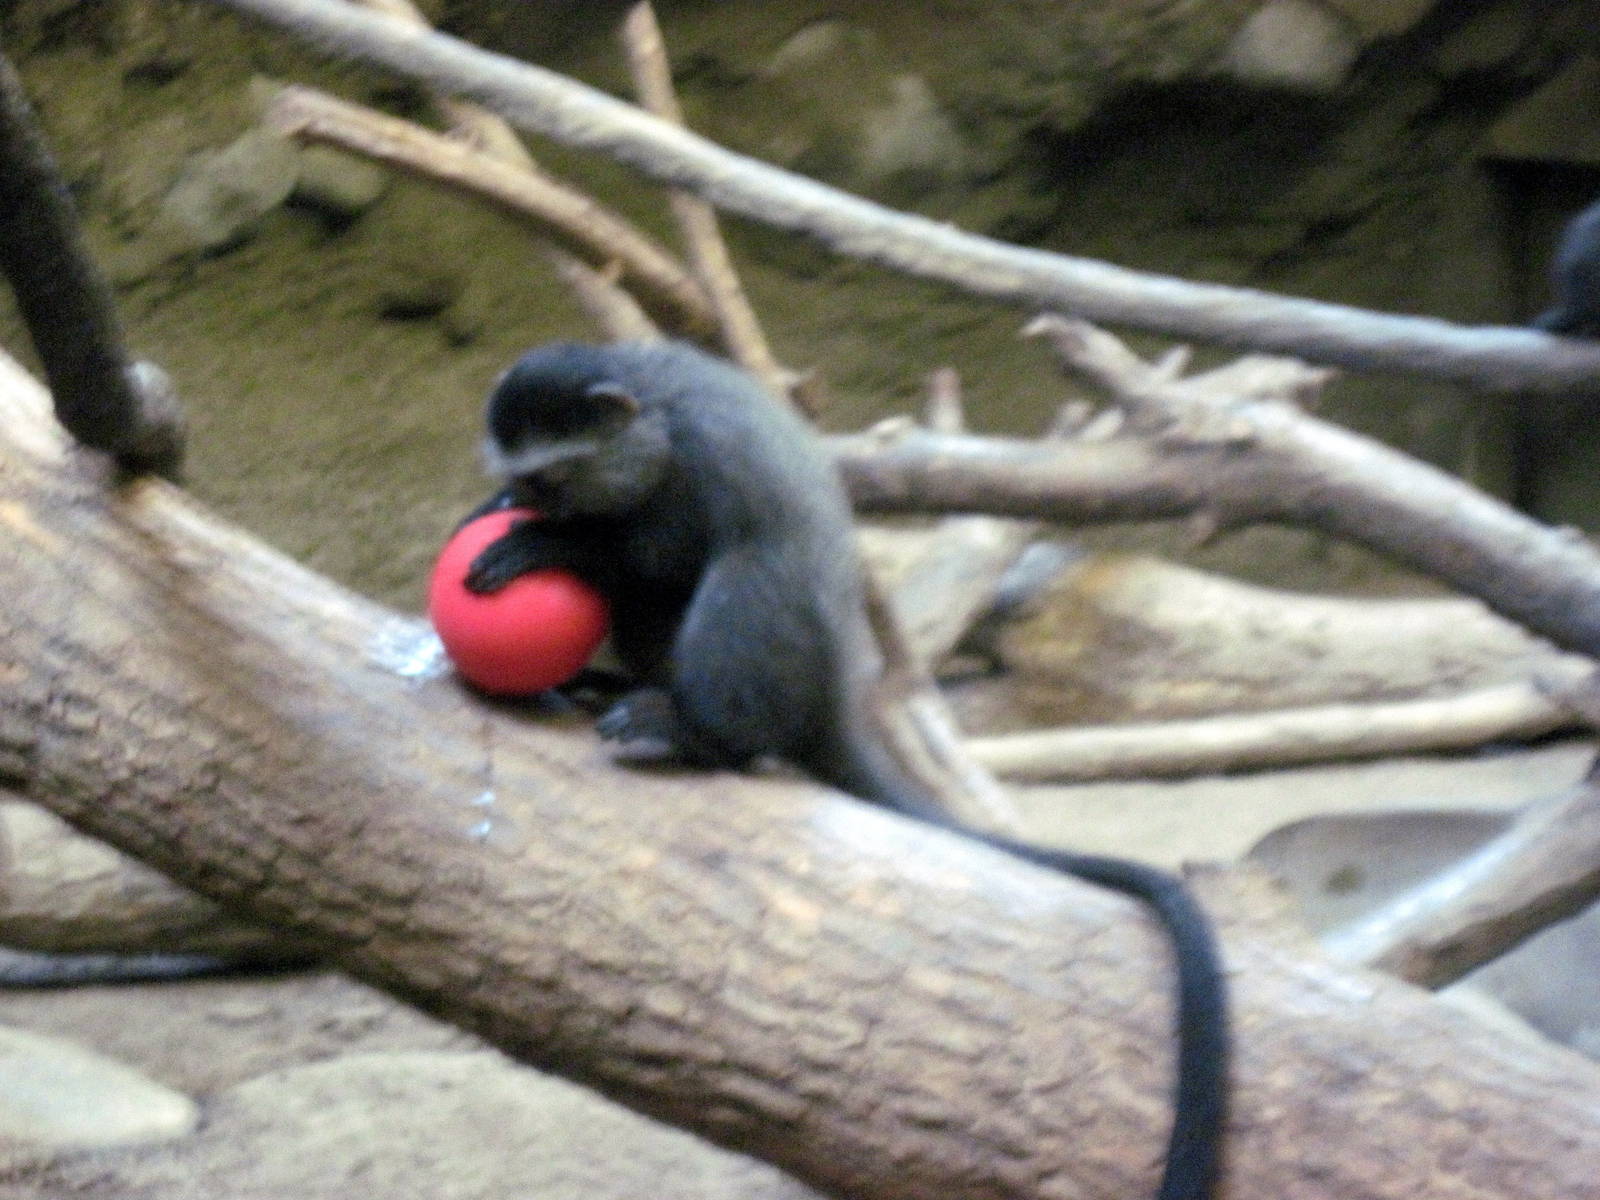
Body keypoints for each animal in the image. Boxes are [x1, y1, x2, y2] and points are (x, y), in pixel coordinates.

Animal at [463, 340, 1229, 1200]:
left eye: (551, 481)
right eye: (524, 479)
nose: (525, 505)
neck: (651, 410)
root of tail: (832, 686)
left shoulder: (697, 462)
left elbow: (661, 554)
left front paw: (557, 546)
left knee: (747, 572)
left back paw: (694, 733)